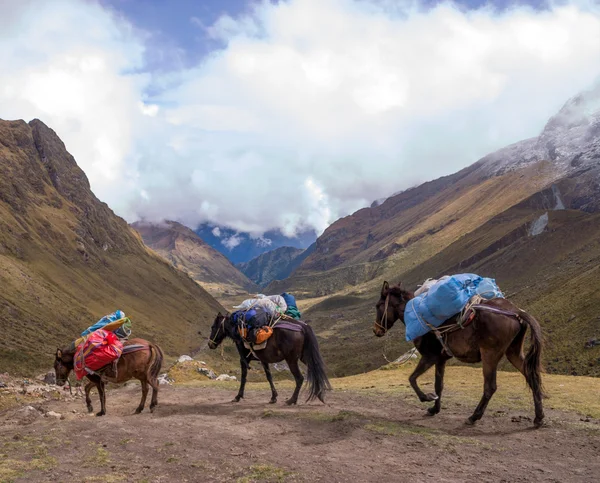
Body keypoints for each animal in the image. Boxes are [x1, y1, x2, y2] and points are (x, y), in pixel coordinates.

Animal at [372, 282, 548, 430]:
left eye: (378, 305)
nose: (376, 330)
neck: (416, 314)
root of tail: (515, 312)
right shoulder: (441, 359)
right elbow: (439, 385)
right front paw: (434, 408)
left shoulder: (429, 357)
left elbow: (412, 379)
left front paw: (426, 398)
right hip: (513, 352)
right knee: (532, 377)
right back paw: (539, 418)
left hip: (490, 355)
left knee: (490, 387)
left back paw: (473, 417)